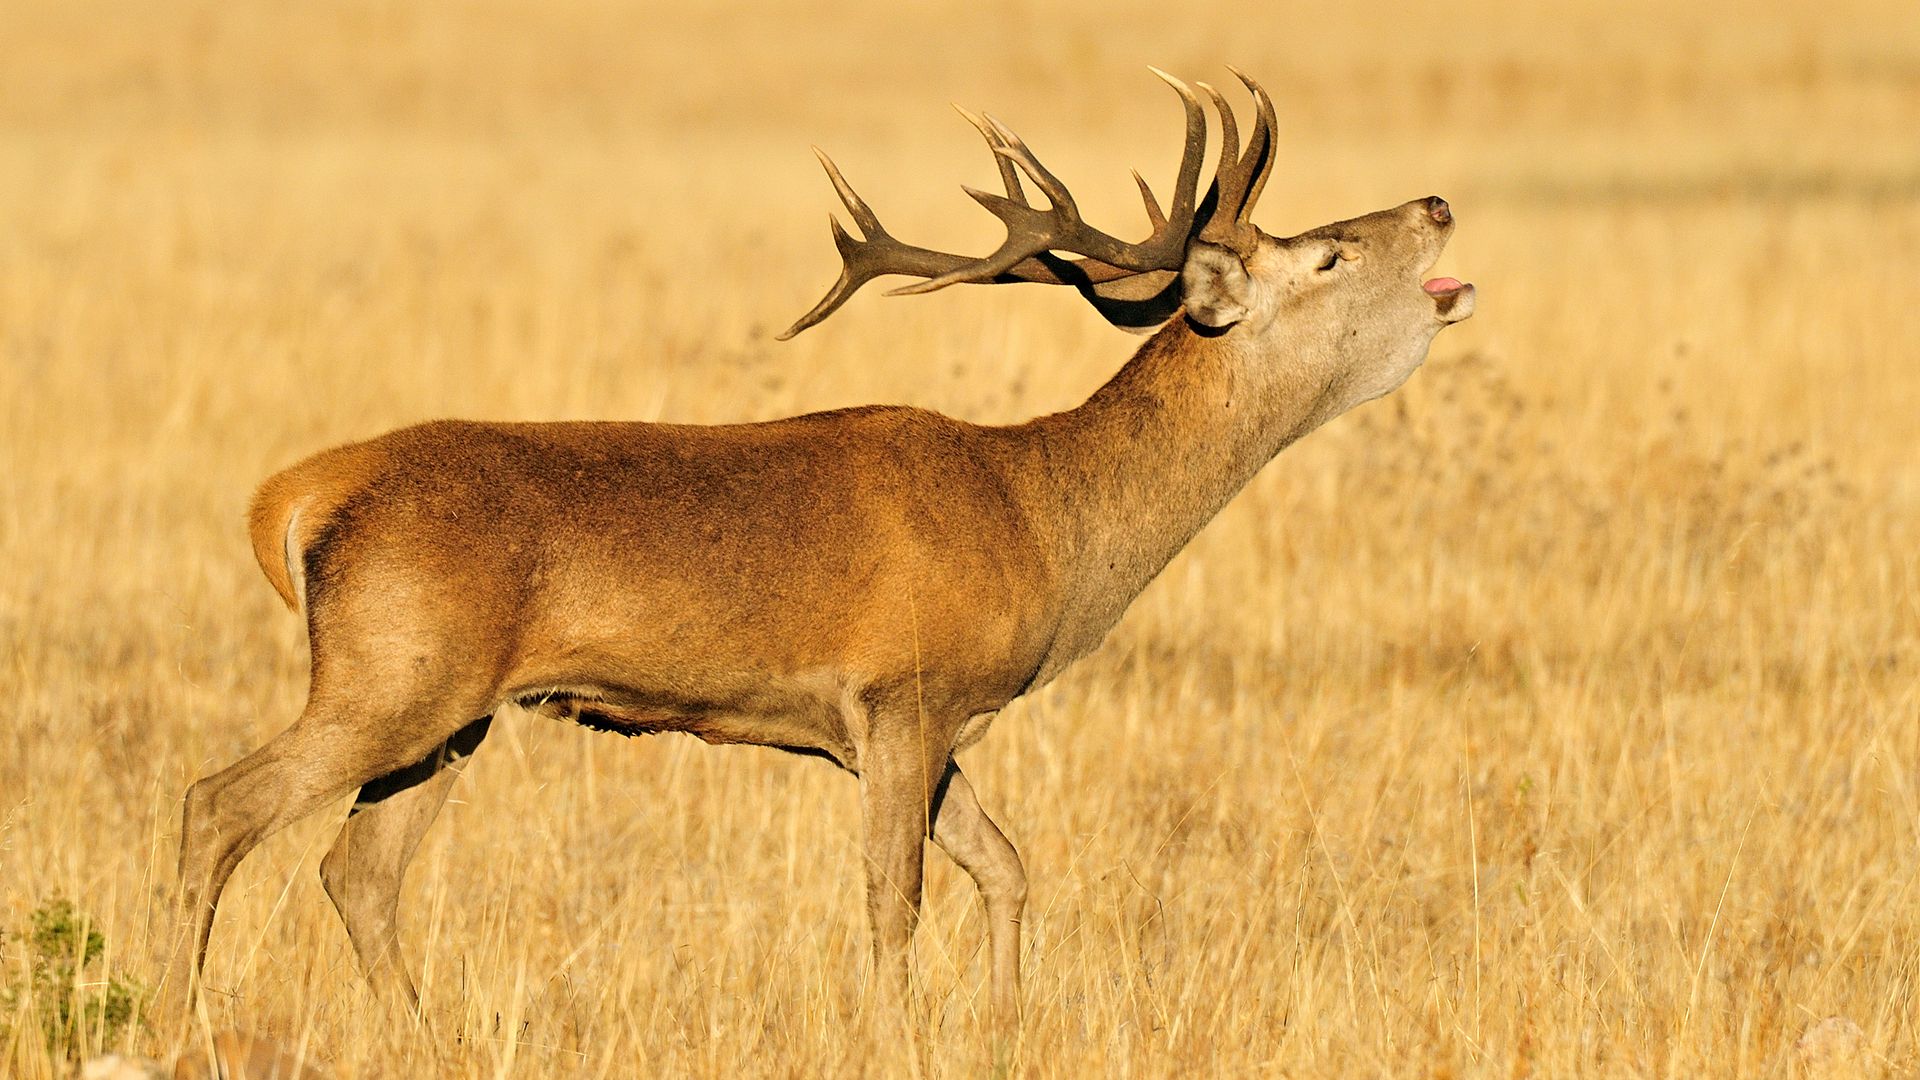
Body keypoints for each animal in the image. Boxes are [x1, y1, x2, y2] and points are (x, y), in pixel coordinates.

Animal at [161, 65, 1466, 1037]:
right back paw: (177, 1017)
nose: (1439, 205)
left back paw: (427, 1037)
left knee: (358, 871)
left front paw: (1004, 1028)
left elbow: (1007, 866)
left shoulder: (925, 724)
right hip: (395, 674)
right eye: (1328, 256)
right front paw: (899, 1035)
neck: (1047, 517)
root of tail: (299, 496)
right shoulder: (899, 694)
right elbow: (896, 897)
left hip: (456, 711)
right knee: (219, 803)